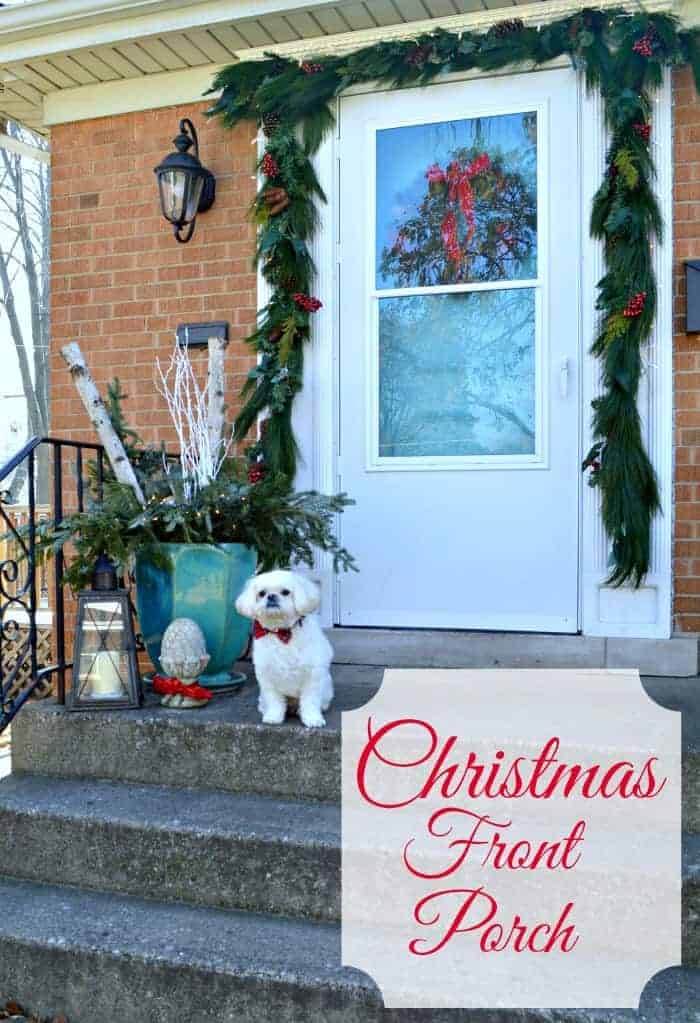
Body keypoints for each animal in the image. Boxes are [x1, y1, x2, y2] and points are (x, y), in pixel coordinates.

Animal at [235, 568, 333, 728]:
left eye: (286, 592)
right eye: (262, 593)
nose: (271, 596)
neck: (282, 632)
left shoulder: (312, 676)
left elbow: (310, 701)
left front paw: (312, 718)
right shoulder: (267, 678)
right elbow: (274, 701)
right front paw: (273, 716)